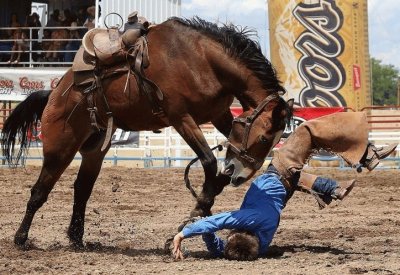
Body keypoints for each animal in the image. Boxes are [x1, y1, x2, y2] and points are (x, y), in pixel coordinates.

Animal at [1, 17, 292, 248]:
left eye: (276, 140)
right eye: (265, 137)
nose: (241, 175)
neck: (200, 59)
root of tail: (54, 93)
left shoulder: (219, 115)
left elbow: (217, 174)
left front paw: (203, 205)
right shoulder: (181, 118)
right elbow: (209, 162)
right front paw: (194, 213)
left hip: (94, 150)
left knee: (82, 189)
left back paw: (76, 238)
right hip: (59, 148)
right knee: (39, 192)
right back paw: (21, 238)